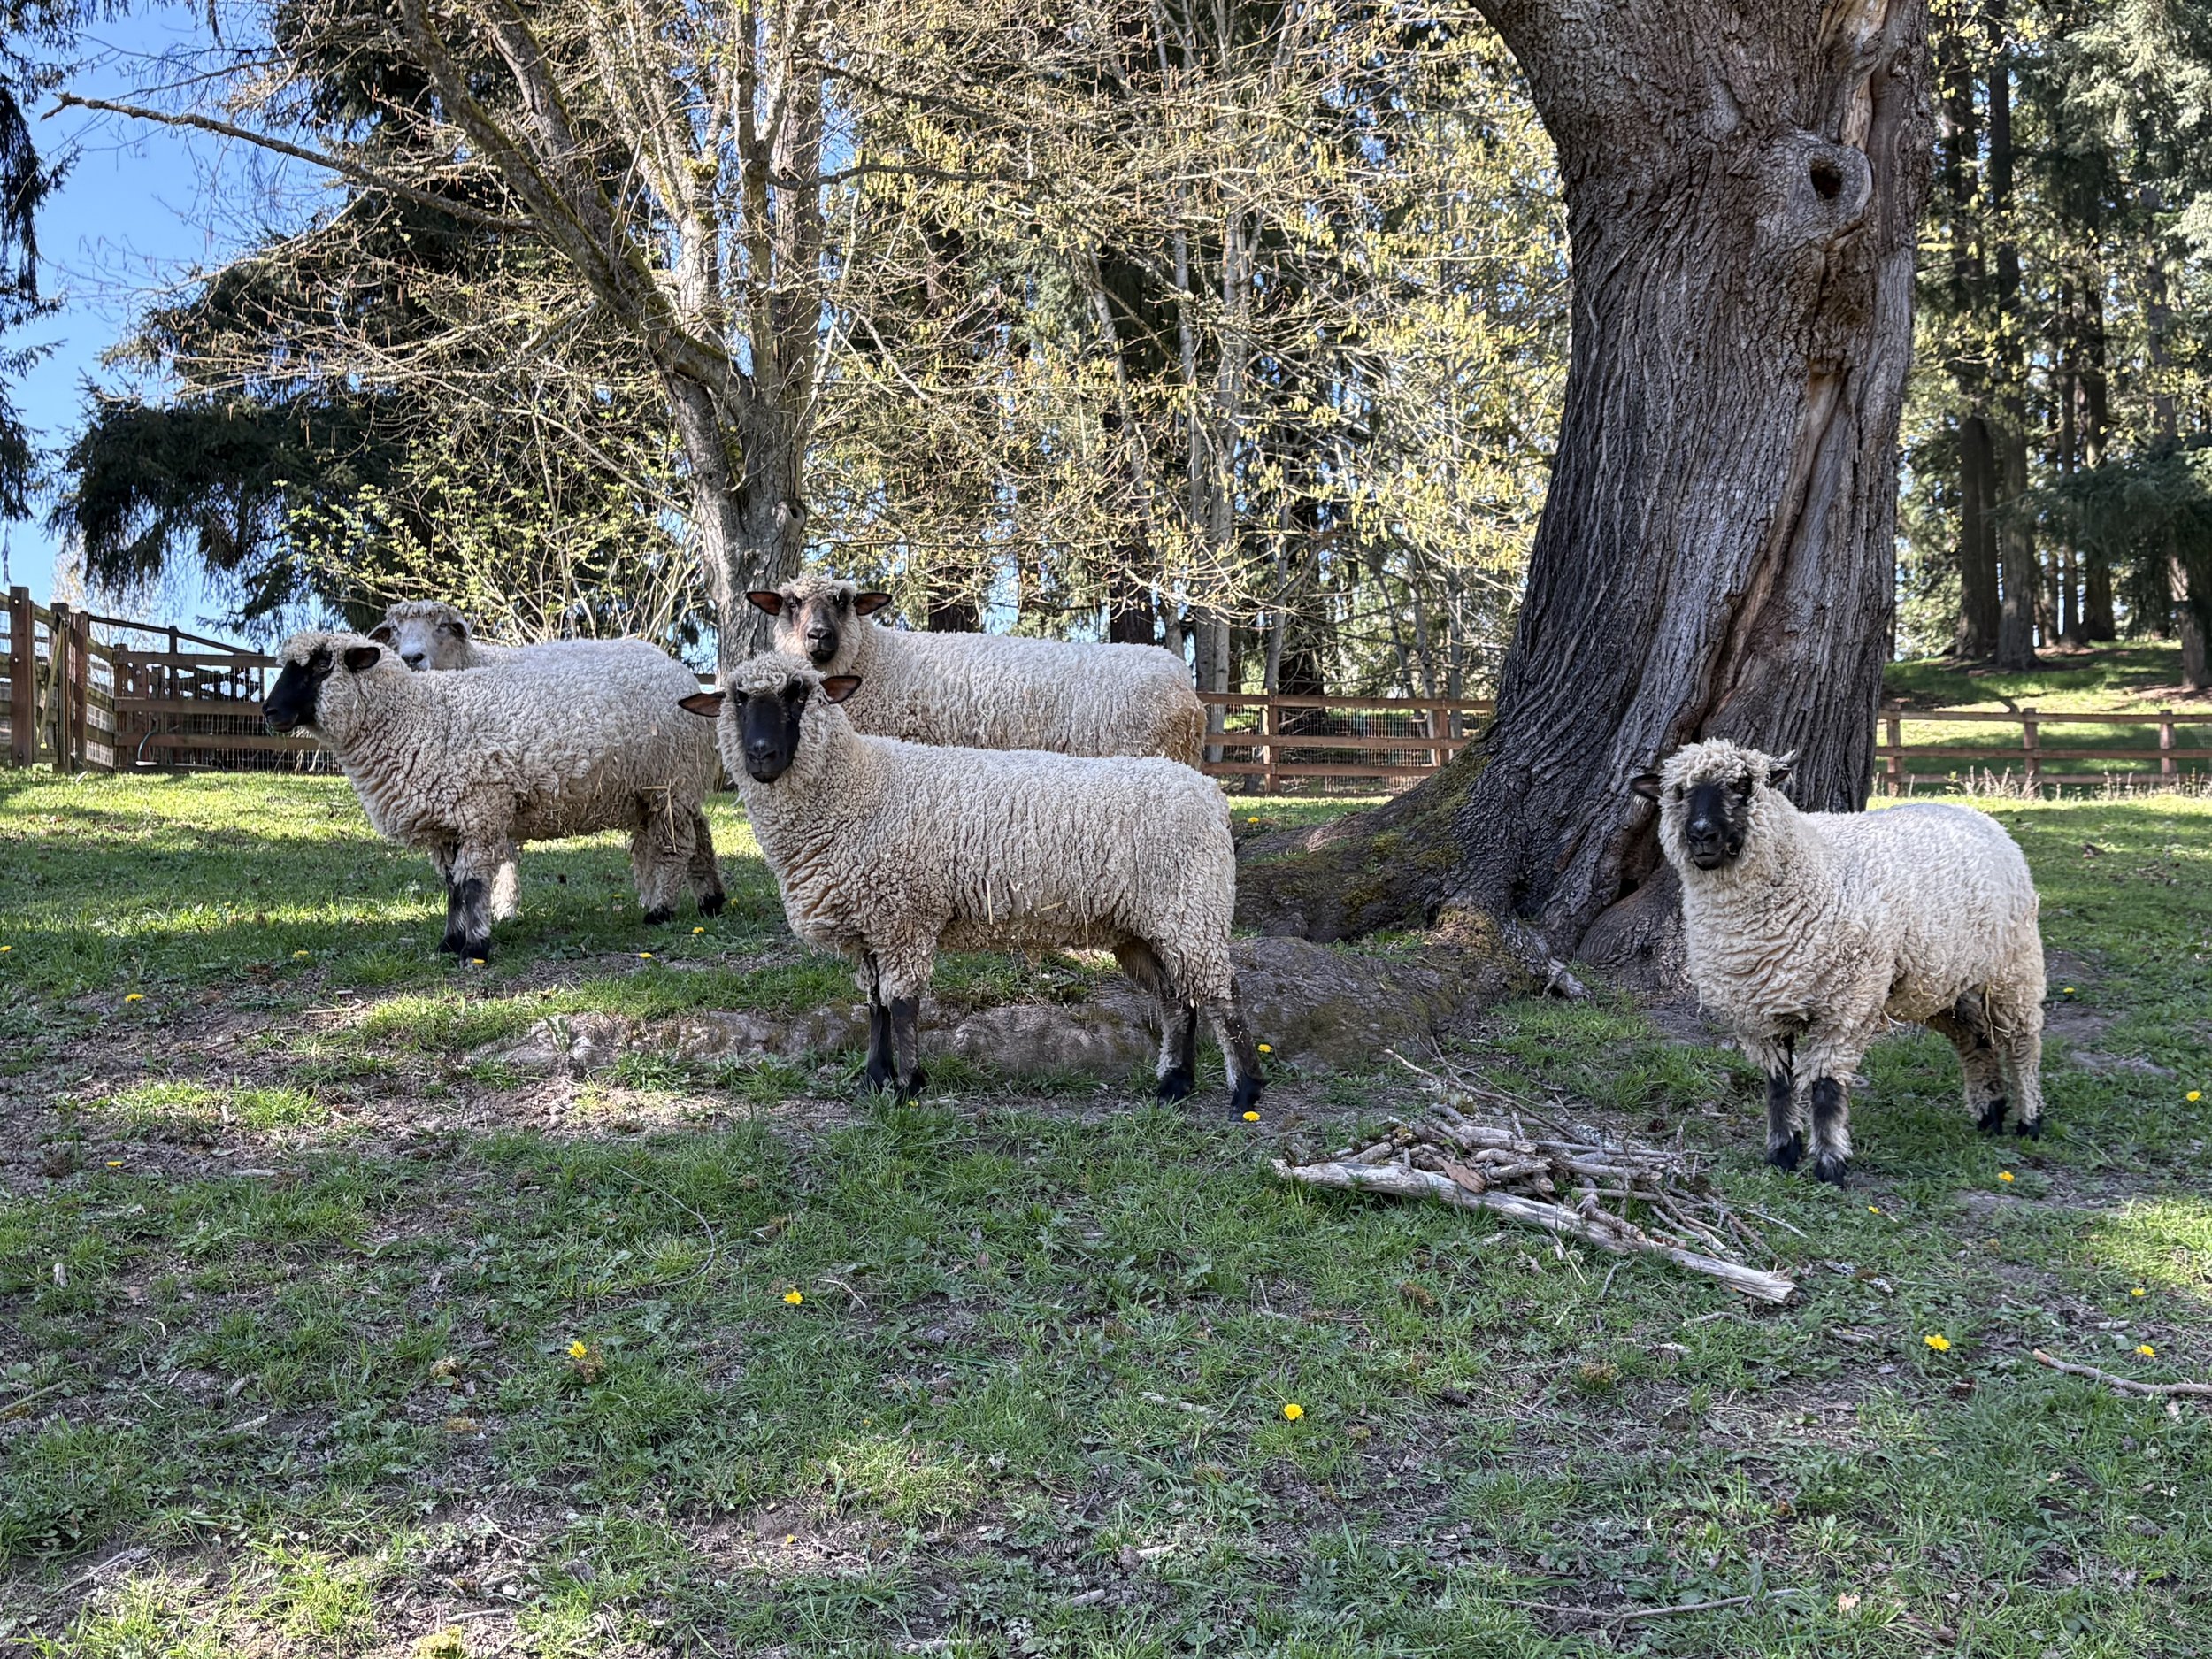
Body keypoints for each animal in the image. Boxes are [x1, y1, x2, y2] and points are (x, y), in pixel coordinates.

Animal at [263, 631, 725, 957]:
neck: (419, 718)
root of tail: (679, 670)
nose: (269, 712)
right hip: (659, 789)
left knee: (674, 848)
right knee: (698, 833)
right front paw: (449, 943)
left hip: (671, 781)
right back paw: (711, 901)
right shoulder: (446, 824)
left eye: (322, 664)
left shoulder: (480, 812)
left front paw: (475, 947)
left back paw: (661, 911)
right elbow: (451, 886)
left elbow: (472, 885)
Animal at [679, 652, 1263, 1107]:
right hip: (1147, 927)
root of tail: (1210, 794)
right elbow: (874, 1005)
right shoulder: (871, 923)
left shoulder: (905, 917)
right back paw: (1174, 1086)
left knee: (1223, 995)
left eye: (800, 695)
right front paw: (873, 1079)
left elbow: (903, 1005)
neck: (858, 787)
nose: (761, 755)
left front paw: (908, 1087)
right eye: (736, 700)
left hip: (1192, 909)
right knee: (1177, 999)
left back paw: (1245, 1094)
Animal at [1633, 738, 2045, 1185]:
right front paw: (1782, 1154)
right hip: (1945, 982)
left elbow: (1826, 1089)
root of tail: (1978, 815)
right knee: (1976, 1039)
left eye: (1743, 785)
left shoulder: (1845, 1008)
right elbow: (1777, 1086)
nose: (1701, 834)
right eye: (1677, 792)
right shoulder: (1757, 1014)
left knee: (2023, 1043)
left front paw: (1830, 1165)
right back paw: (1990, 1114)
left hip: (2014, 967)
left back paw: (2029, 1121)